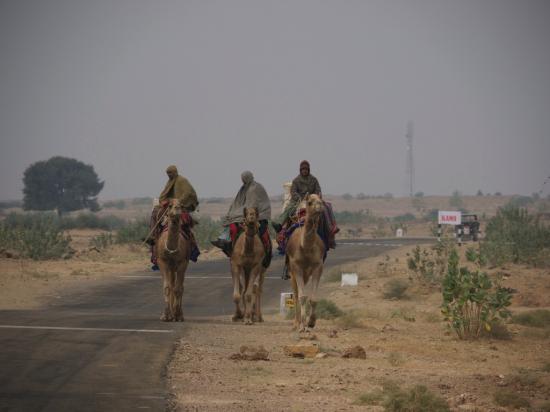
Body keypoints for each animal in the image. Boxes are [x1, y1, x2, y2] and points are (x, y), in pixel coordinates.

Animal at [286, 193, 326, 332]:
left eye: (321, 201)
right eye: (309, 202)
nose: (319, 207)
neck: (305, 247)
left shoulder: (318, 266)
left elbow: (313, 298)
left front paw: (311, 322)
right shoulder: (296, 266)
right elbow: (302, 296)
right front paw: (303, 325)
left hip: (306, 274)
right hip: (292, 272)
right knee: (296, 293)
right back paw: (296, 323)